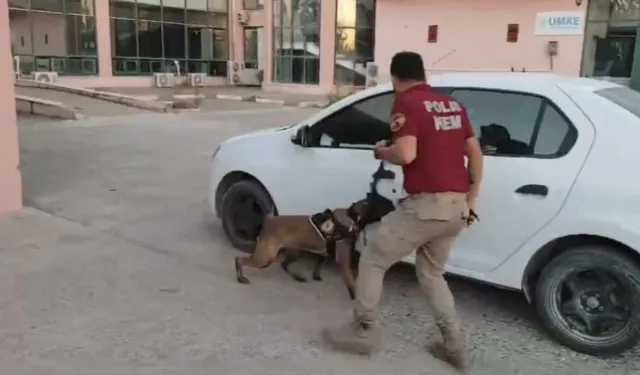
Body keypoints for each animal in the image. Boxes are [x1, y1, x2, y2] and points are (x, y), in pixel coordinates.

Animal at [234, 207, 362, 302]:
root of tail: (268, 220)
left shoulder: (324, 253)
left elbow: (319, 264)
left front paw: (316, 275)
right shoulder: (343, 261)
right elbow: (351, 282)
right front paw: (354, 297)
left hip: (290, 252)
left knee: (284, 264)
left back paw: (298, 277)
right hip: (265, 258)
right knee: (239, 259)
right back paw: (241, 278)